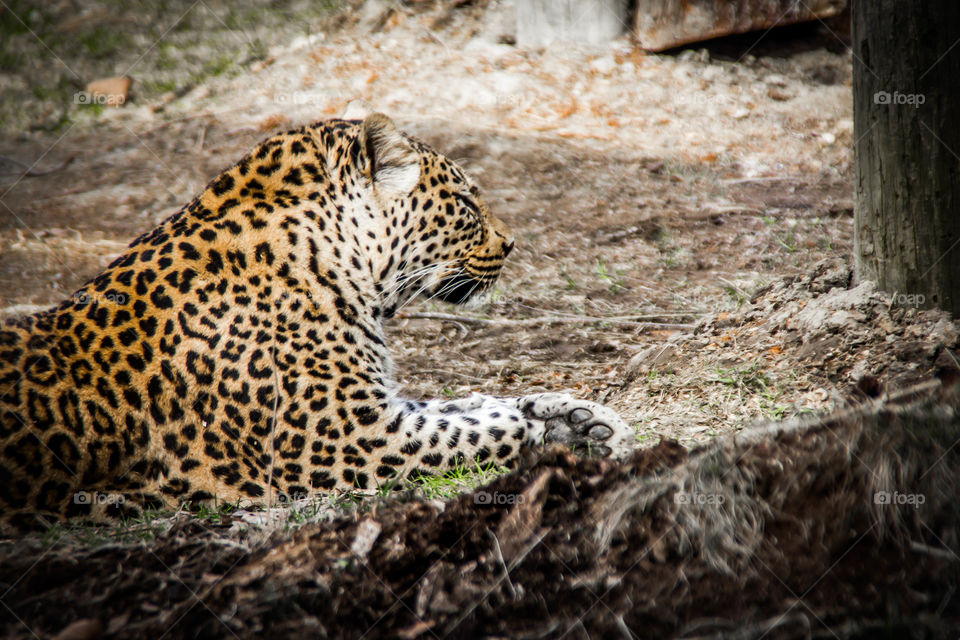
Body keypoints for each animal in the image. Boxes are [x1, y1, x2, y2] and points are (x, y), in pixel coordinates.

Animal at [0, 112, 635, 527]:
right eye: (464, 203)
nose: (511, 243)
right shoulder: (348, 437)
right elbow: (482, 429)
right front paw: (555, 430)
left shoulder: (375, 406)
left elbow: (470, 404)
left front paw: (579, 418)